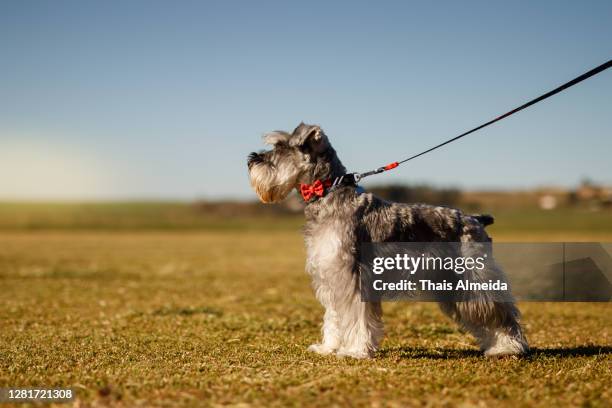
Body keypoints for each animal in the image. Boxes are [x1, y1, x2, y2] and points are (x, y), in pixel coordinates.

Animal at [246, 122, 528, 358]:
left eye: (281, 147)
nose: (251, 159)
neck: (328, 193)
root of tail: (476, 219)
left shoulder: (353, 278)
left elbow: (356, 318)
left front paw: (355, 351)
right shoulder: (332, 276)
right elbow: (334, 317)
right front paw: (328, 347)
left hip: (473, 281)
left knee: (503, 315)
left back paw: (509, 347)